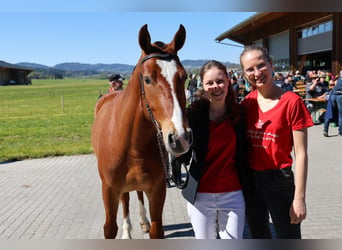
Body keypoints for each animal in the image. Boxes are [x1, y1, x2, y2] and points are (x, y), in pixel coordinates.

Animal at [91, 24, 192, 238]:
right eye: (147, 79)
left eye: (184, 77)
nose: (180, 138)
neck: (131, 142)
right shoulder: (109, 190)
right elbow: (110, 228)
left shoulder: (157, 189)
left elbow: (156, 229)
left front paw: (147, 223)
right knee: (126, 199)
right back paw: (127, 230)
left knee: (136, 193)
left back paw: (143, 221)